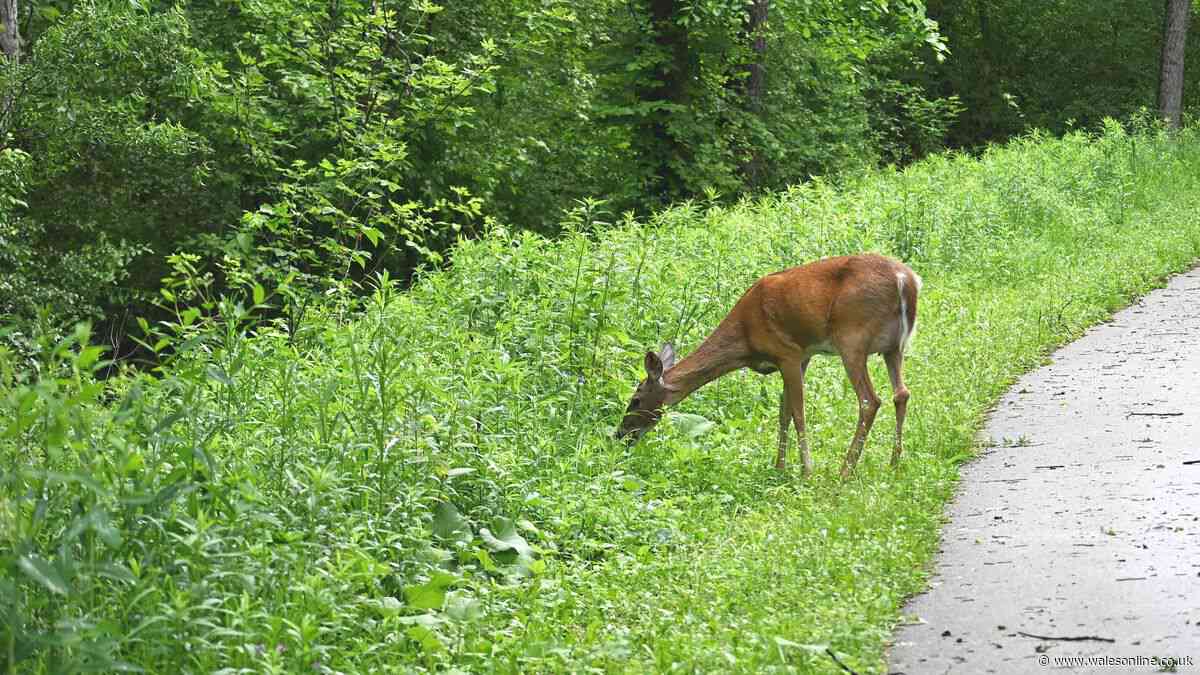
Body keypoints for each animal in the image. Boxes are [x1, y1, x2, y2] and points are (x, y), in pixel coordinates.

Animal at [615, 254, 921, 479]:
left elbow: (797, 412)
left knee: (870, 400)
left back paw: (845, 471)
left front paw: (806, 472)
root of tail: (906, 280)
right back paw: (894, 464)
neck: (745, 338)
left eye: (635, 400)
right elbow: (783, 411)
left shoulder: (788, 352)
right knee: (901, 393)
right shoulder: (803, 356)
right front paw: (780, 468)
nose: (620, 435)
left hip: (852, 338)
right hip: (894, 347)